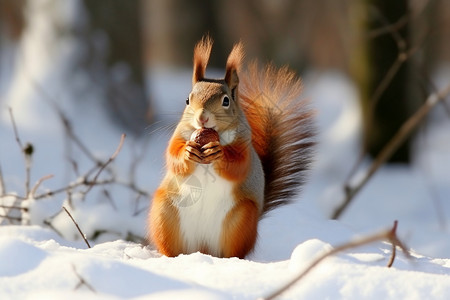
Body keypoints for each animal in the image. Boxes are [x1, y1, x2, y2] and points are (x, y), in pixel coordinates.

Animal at [147, 36, 312, 258]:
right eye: (187, 100)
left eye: (226, 101)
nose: (202, 117)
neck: (214, 133)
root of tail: (203, 248)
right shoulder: (179, 135)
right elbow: (173, 157)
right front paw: (188, 152)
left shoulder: (244, 145)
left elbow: (238, 165)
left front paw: (218, 153)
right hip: (165, 212)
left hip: (241, 220)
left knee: (233, 250)